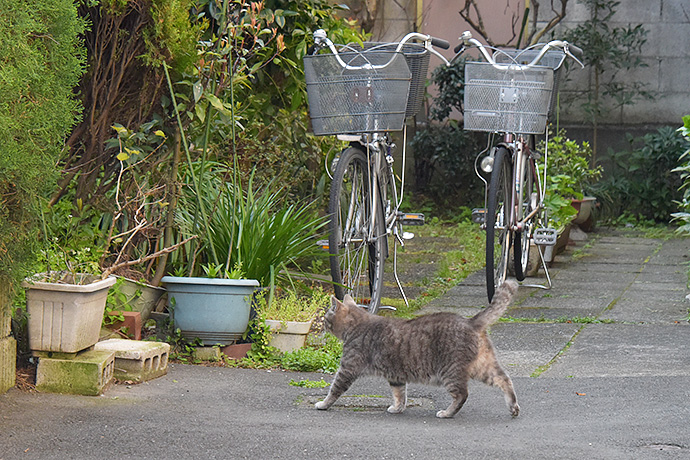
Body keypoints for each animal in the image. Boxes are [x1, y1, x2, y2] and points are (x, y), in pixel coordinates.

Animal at [316, 278, 516, 418]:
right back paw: (513, 408)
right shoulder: (395, 376)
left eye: (326, 317)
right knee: (505, 379)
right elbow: (400, 395)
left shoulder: (347, 369)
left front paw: (323, 404)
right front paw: (397, 408)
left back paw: (447, 413)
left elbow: (334, 389)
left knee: (462, 394)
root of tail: (470, 321)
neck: (357, 324)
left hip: (450, 371)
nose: (321, 324)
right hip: (483, 366)